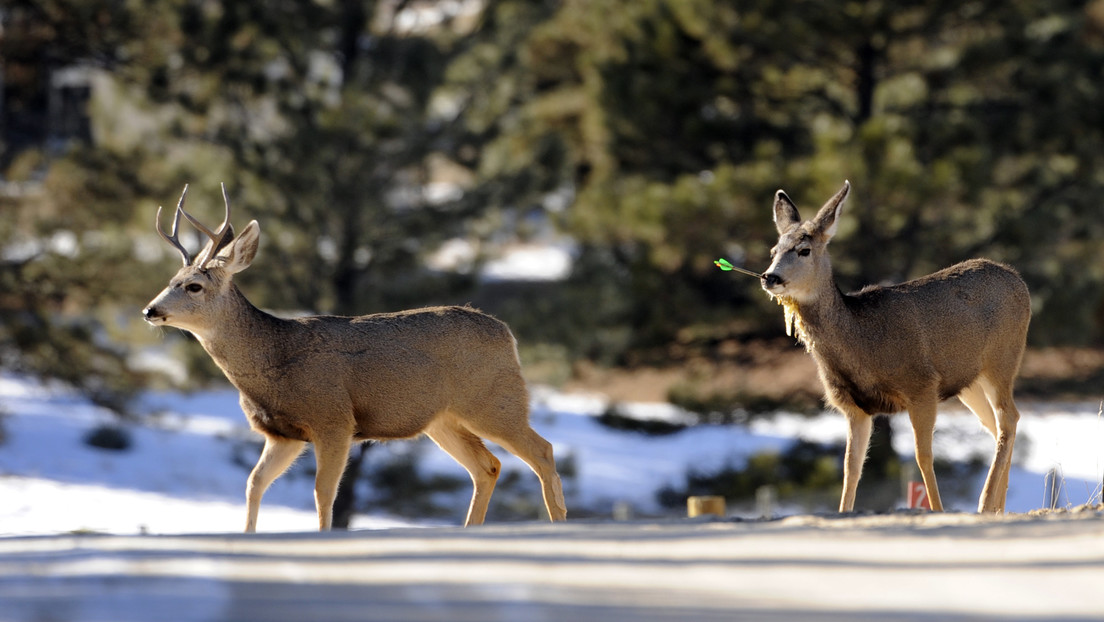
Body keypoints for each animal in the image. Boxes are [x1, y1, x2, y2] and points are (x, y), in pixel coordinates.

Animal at [143, 184, 569, 530]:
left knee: (542, 451)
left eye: (193, 286)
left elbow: (322, 492)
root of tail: (508, 334)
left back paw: (557, 524)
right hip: (442, 419)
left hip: (493, 402)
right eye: (169, 281)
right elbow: (254, 483)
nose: (150, 310)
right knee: (488, 467)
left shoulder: (333, 418)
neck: (274, 359)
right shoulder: (284, 433)